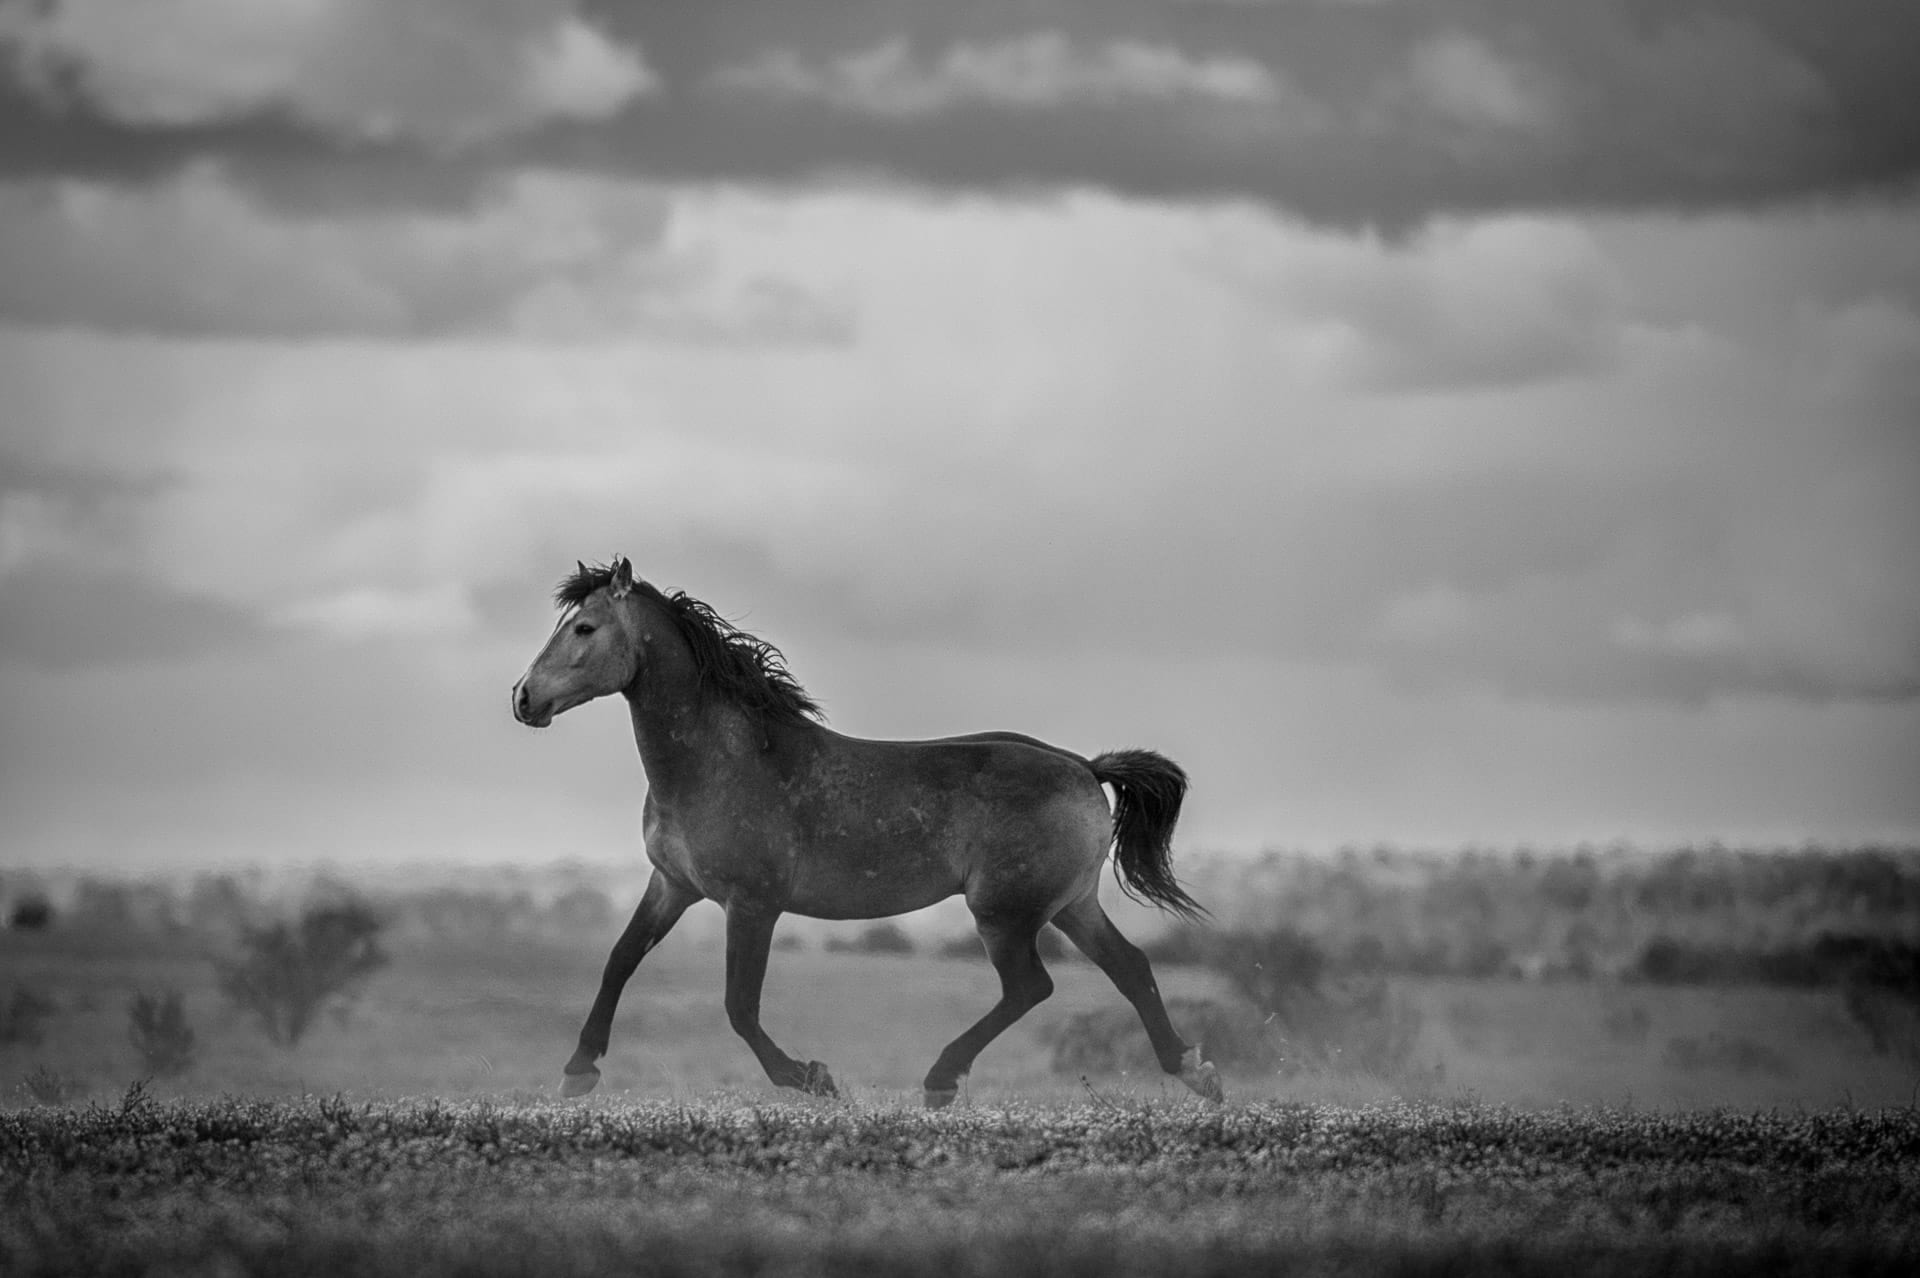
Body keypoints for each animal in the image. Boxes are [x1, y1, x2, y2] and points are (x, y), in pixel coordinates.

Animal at [510, 557, 1223, 1108]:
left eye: (584, 627)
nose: (523, 698)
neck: (720, 762)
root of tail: (1084, 767)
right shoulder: (672, 886)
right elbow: (620, 959)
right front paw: (578, 1071)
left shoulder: (753, 903)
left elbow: (740, 1006)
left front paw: (812, 1078)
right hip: (1071, 904)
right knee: (1129, 967)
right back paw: (1194, 1070)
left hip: (1004, 912)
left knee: (1031, 986)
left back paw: (940, 1080)